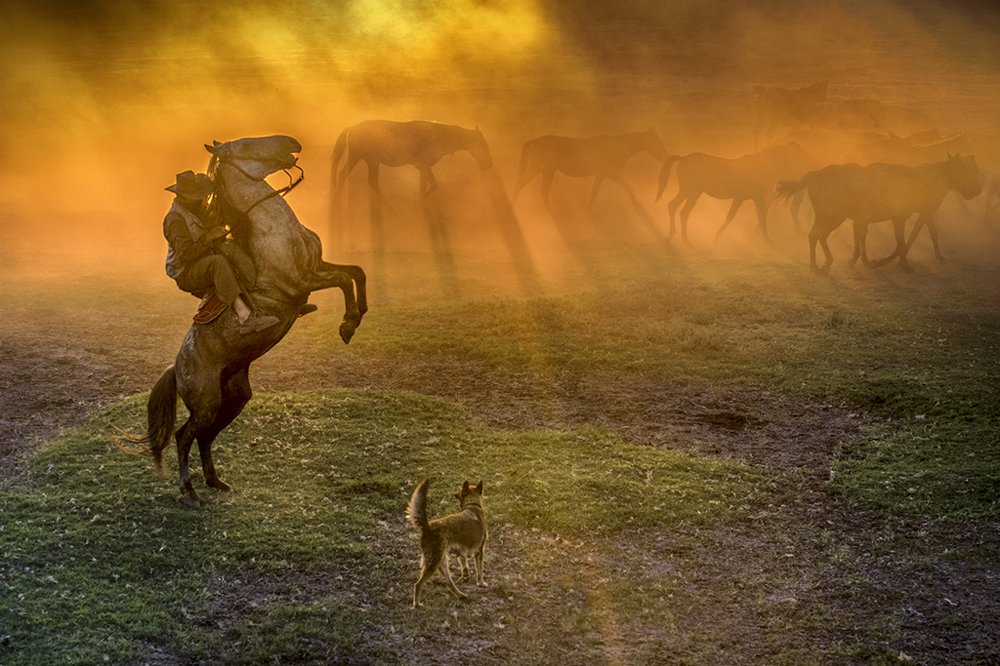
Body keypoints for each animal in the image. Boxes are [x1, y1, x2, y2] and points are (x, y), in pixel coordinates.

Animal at [140, 135, 368, 507]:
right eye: (246, 144)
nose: (292, 142)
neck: (269, 230)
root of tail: (177, 367)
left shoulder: (317, 268)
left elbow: (356, 273)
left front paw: (356, 317)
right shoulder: (302, 281)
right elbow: (345, 280)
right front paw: (348, 324)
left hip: (233, 399)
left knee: (205, 436)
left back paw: (215, 481)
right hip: (206, 403)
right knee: (184, 435)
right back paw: (189, 491)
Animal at [331, 119, 493, 200]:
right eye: (483, 144)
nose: (489, 164)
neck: (439, 137)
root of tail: (353, 127)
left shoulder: (424, 167)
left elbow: (429, 185)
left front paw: (420, 200)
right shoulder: (424, 166)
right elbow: (429, 185)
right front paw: (419, 200)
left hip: (366, 160)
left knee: (361, 178)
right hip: (362, 158)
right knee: (352, 177)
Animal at [513, 128, 667, 207]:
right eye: (656, 141)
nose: (665, 156)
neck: (617, 147)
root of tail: (536, 141)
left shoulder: (608, 175)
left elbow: (625, 187)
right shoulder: (607, 174)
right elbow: (596, 192)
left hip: (547, 170)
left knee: (540, 189)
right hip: (541, 169)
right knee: (525, 184)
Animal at [655, 142, 816, 243]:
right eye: (798, 155)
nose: (808, 167)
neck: (759, 168)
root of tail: (683, 158)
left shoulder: (750, 198)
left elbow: (756, 216)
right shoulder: (747, 197)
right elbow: (742, 217)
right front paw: (767, 240)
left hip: (691, 192)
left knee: (678, 209)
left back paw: (678, 238)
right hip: (691, 191)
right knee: (678, 209)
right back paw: (679, 238)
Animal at [776, 154, 982, 274]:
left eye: (975, 170)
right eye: (967, 170)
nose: (977, 190)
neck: (926, 180)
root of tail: (812, 176)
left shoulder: (919, 213)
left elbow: (924, 235)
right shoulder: (901, 216)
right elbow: (903, 241)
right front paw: (896, 264)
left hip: (829, 216)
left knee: (816, 235)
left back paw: (822, 263)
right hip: (833, 216)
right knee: (816, 234)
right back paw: (820, 264)